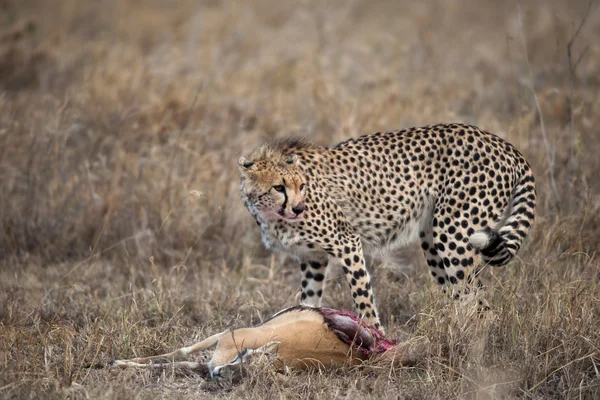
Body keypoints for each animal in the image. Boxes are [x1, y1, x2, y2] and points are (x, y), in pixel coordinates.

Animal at [238, 124, 536, 328]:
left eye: (301, 186)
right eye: (279, 187)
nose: (298, 208)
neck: (272, 216)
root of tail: (502, 144)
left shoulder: (347, 242)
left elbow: (363, 296)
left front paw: (374, 338)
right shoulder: (313, 257)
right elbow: (309, 299)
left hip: (453, 234)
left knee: (482, 306)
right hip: (433, 240)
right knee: (466, 299)